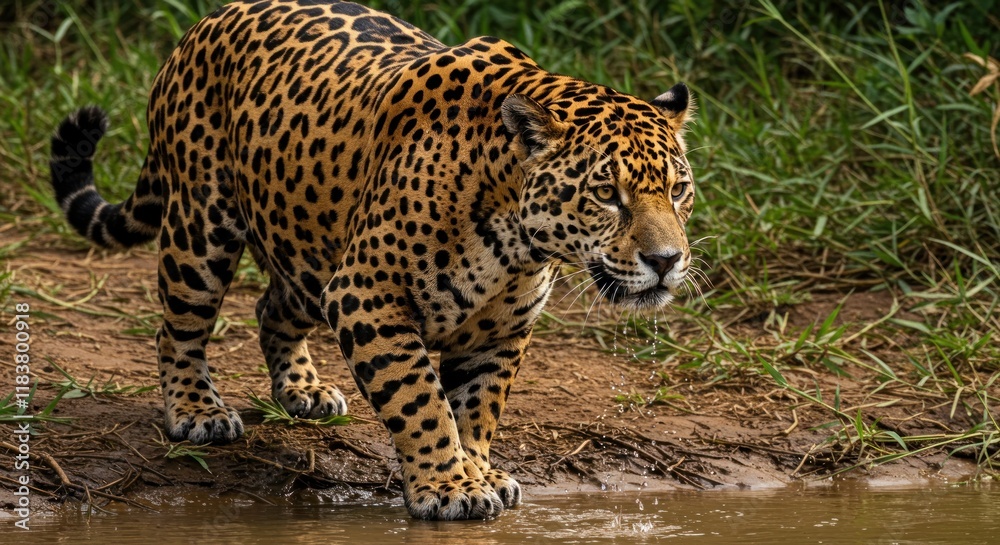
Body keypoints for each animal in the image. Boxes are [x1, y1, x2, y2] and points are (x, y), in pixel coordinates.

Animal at [48, 0, 696, 520]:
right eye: (606, 193)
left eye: (679, 189)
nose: (666, 260)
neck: (516, 239)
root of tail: (208, 20)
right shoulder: (368, 297)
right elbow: (422, 401)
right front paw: (450, 487)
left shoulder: (501, 330)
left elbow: (476, 410)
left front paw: (478, 471)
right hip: (202, 225)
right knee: (178, 327)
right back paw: (197, 411)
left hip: (307, 251)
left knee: (270, 308)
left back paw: (304, 391)